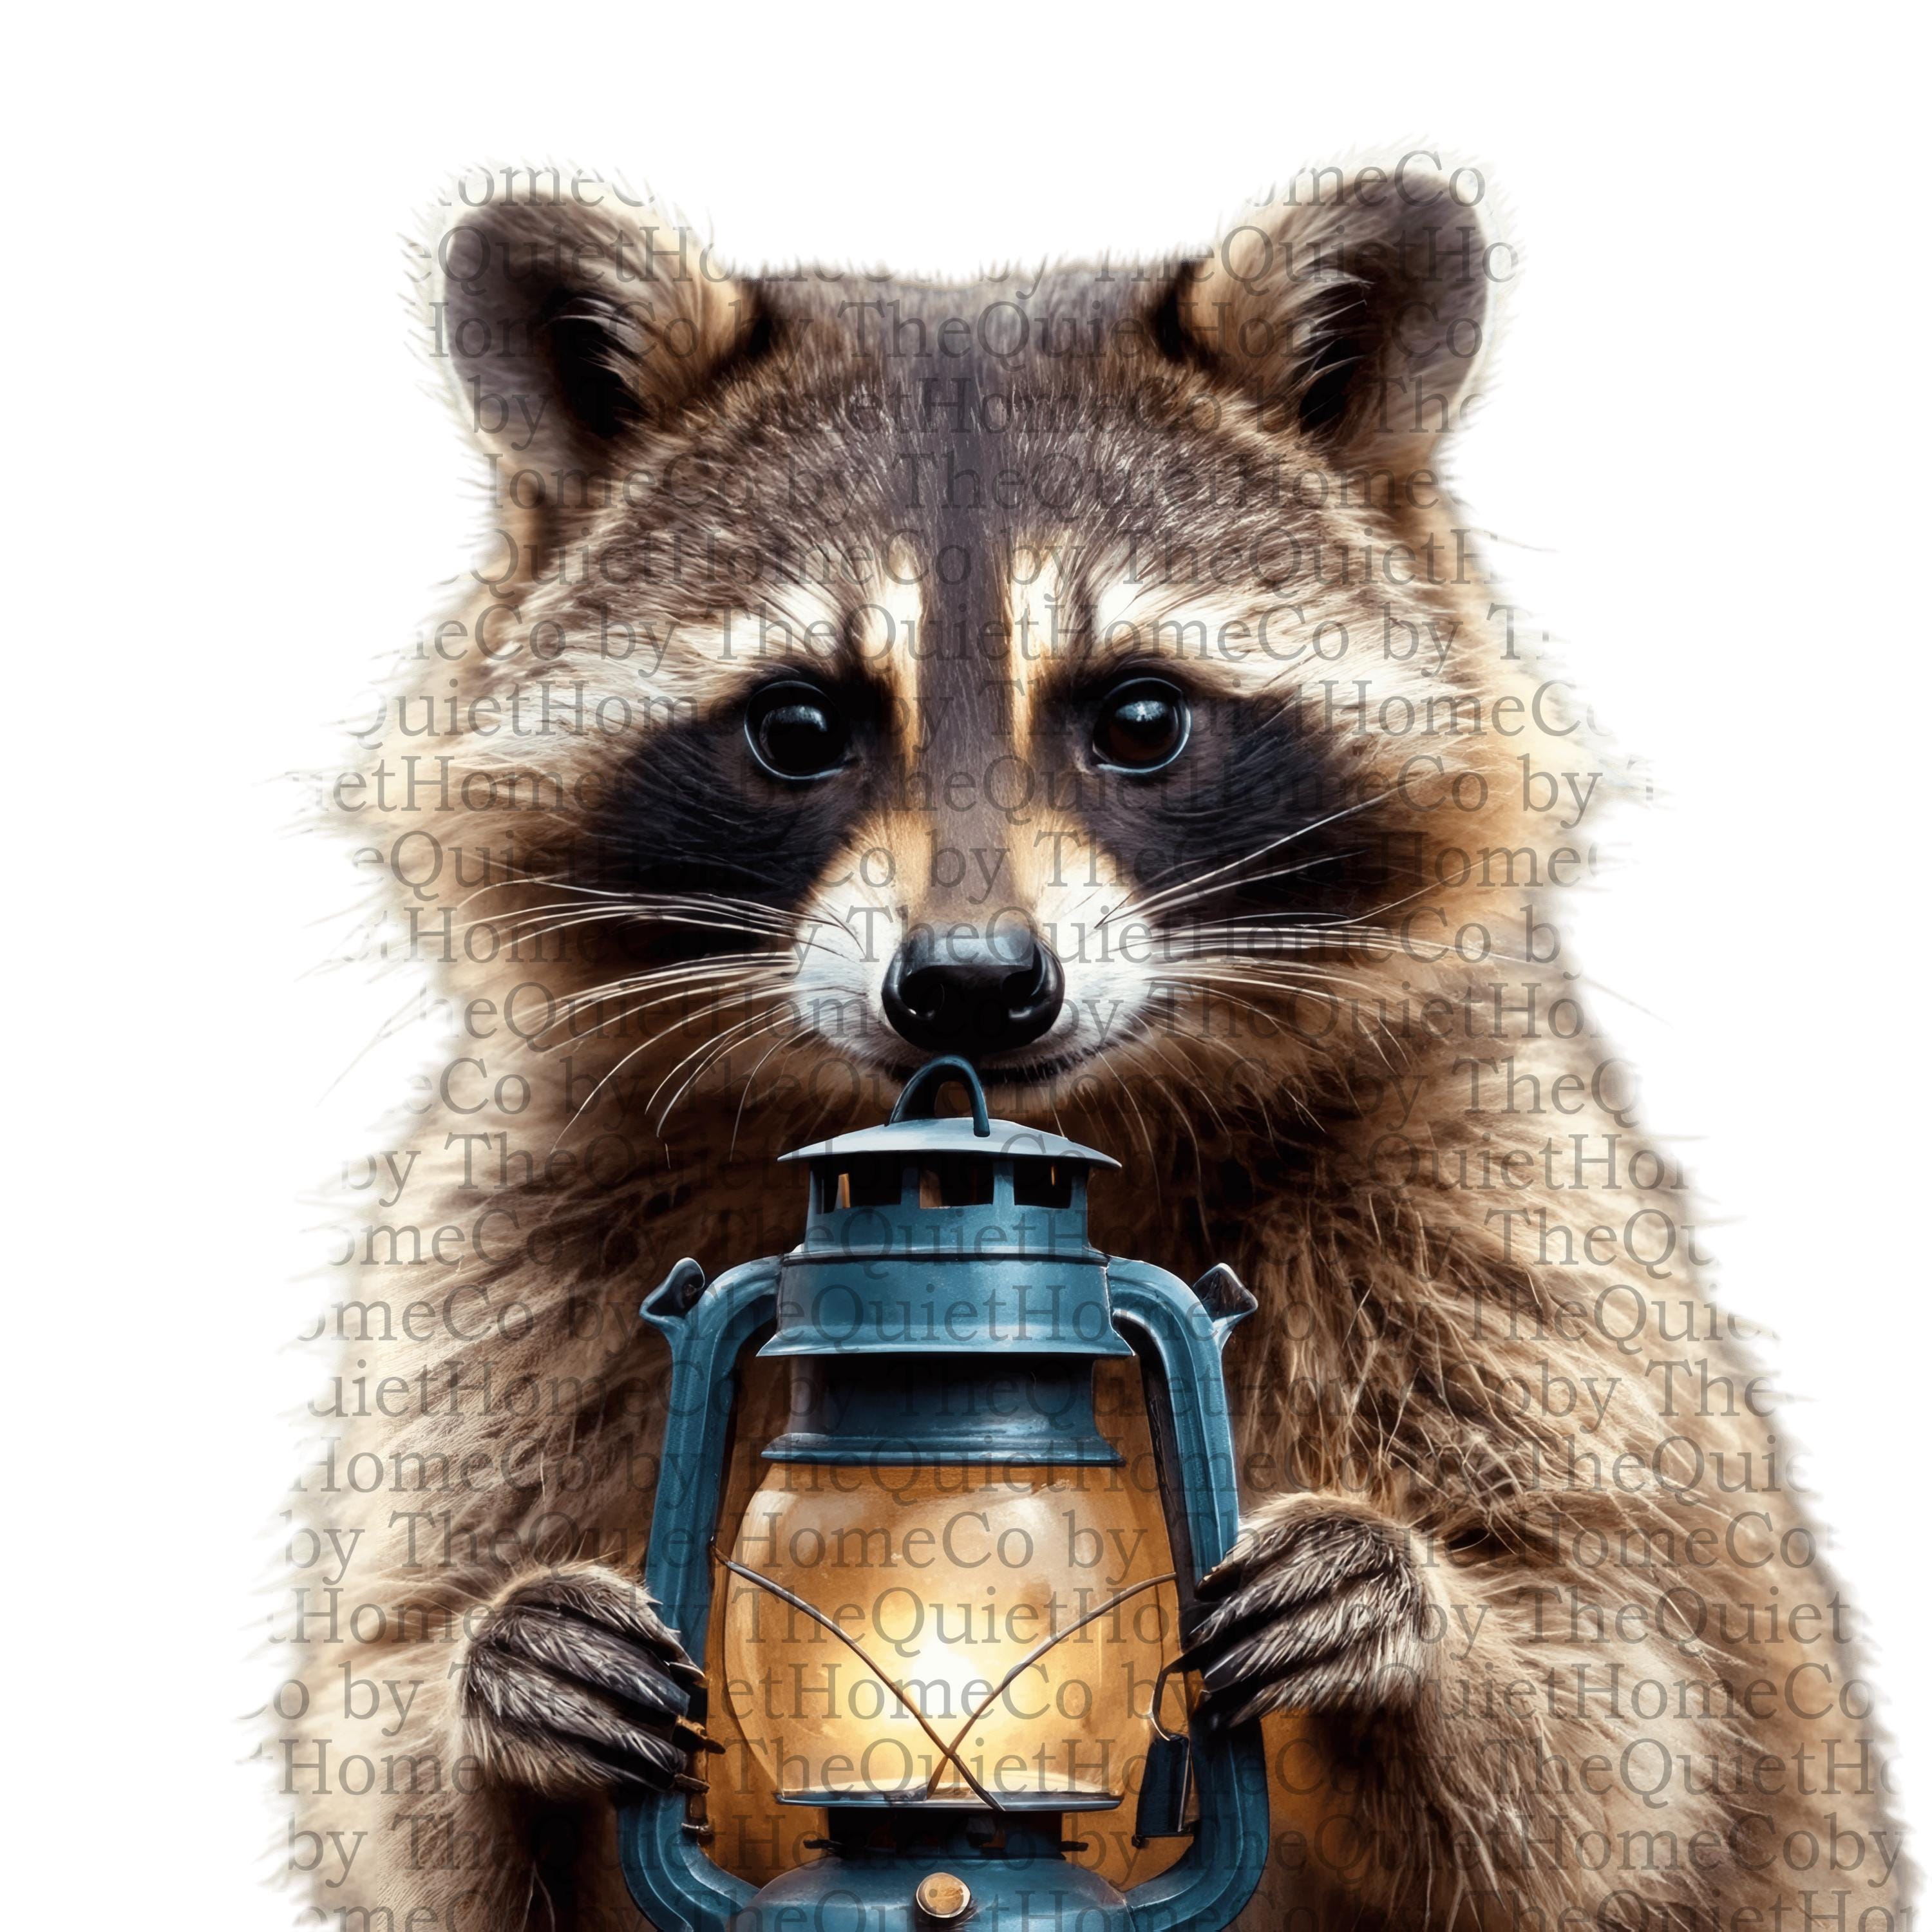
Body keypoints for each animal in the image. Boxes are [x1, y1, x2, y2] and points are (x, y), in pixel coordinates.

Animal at [288, 160, 1907, 1930]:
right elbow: (382, 1721)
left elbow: (1638, 1722)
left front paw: (1423, 1642)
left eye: (1136, 717)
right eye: (797, 725)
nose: (971, 991)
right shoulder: (518, 1213)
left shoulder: (1498, 1185)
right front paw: (495, 1698)